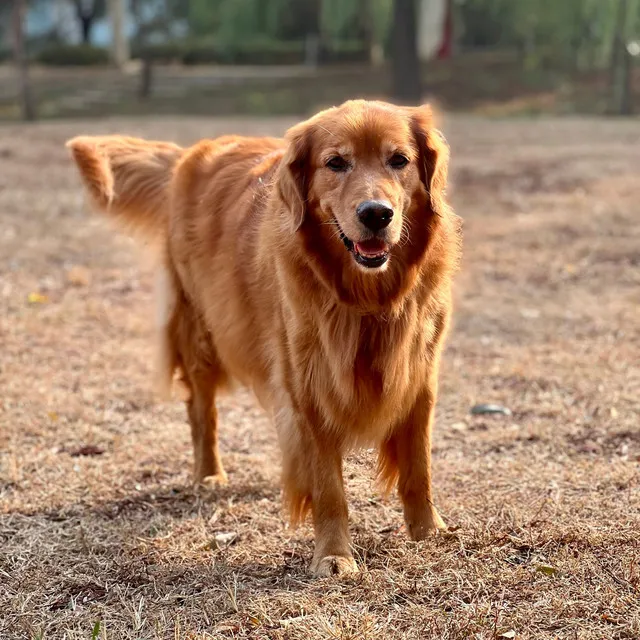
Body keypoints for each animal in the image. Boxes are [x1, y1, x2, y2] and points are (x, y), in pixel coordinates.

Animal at [66, 99, 460, 576]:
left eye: (399, 160)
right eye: (336, 163)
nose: (376, 214)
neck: (367, 298)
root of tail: (190, 154)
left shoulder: (420, 373)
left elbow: (418, 467)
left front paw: (428, 531)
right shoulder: (307, 384)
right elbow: (328, 486)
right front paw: (334, 554)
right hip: (201, 332)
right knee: (202, 412)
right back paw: (209, 474)